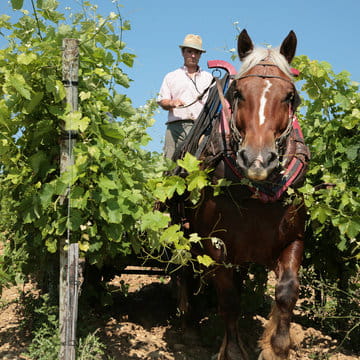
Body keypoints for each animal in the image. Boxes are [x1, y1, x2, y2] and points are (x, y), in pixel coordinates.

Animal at [177, 30, 310, 360]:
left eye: (290, 96)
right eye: (238, 93)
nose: (257, 160)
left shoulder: (294, 237)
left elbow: (287, 292)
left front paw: (276, 347)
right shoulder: (215, 244)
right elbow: (229, 300)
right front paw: (234, 350)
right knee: (187, 274)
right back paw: (190, 329)